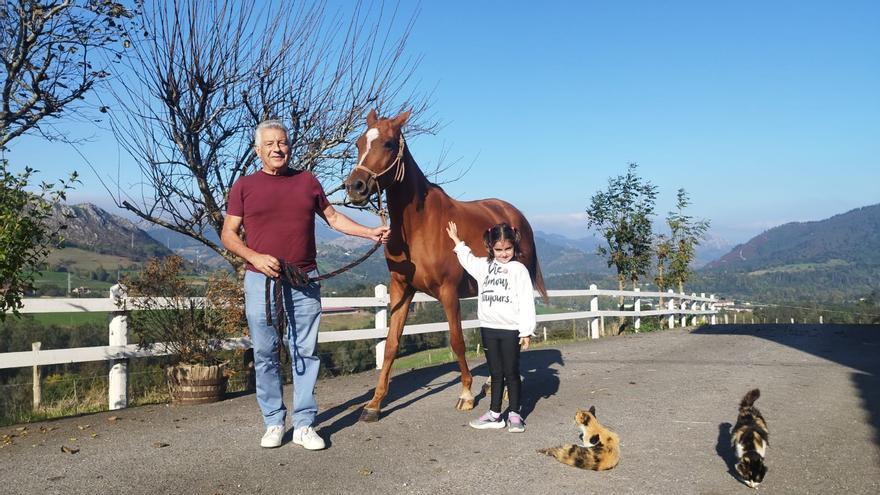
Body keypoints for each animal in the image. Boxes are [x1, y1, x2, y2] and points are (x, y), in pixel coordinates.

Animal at [344, 110, 549, 422]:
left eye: (389, 144)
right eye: (358, 143)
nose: (355, 187)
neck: (419, 226)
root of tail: (517, 215)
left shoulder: (448, 291)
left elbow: (456, 341)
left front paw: (466, 394)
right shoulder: (401, 290)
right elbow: (391, 345)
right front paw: (374, 404)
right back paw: (493, 384)